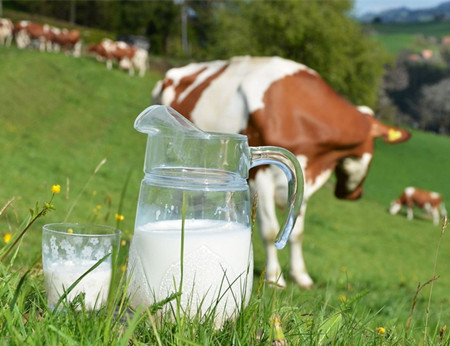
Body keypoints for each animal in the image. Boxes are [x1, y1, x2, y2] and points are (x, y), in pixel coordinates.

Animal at [152, 56, 412, 290]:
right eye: (374, 148)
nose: (355, 195)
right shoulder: (261, 177)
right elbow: (269, 232)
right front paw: (275, 278)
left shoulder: (304, 177)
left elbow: (296, 231)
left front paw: (301, 276)